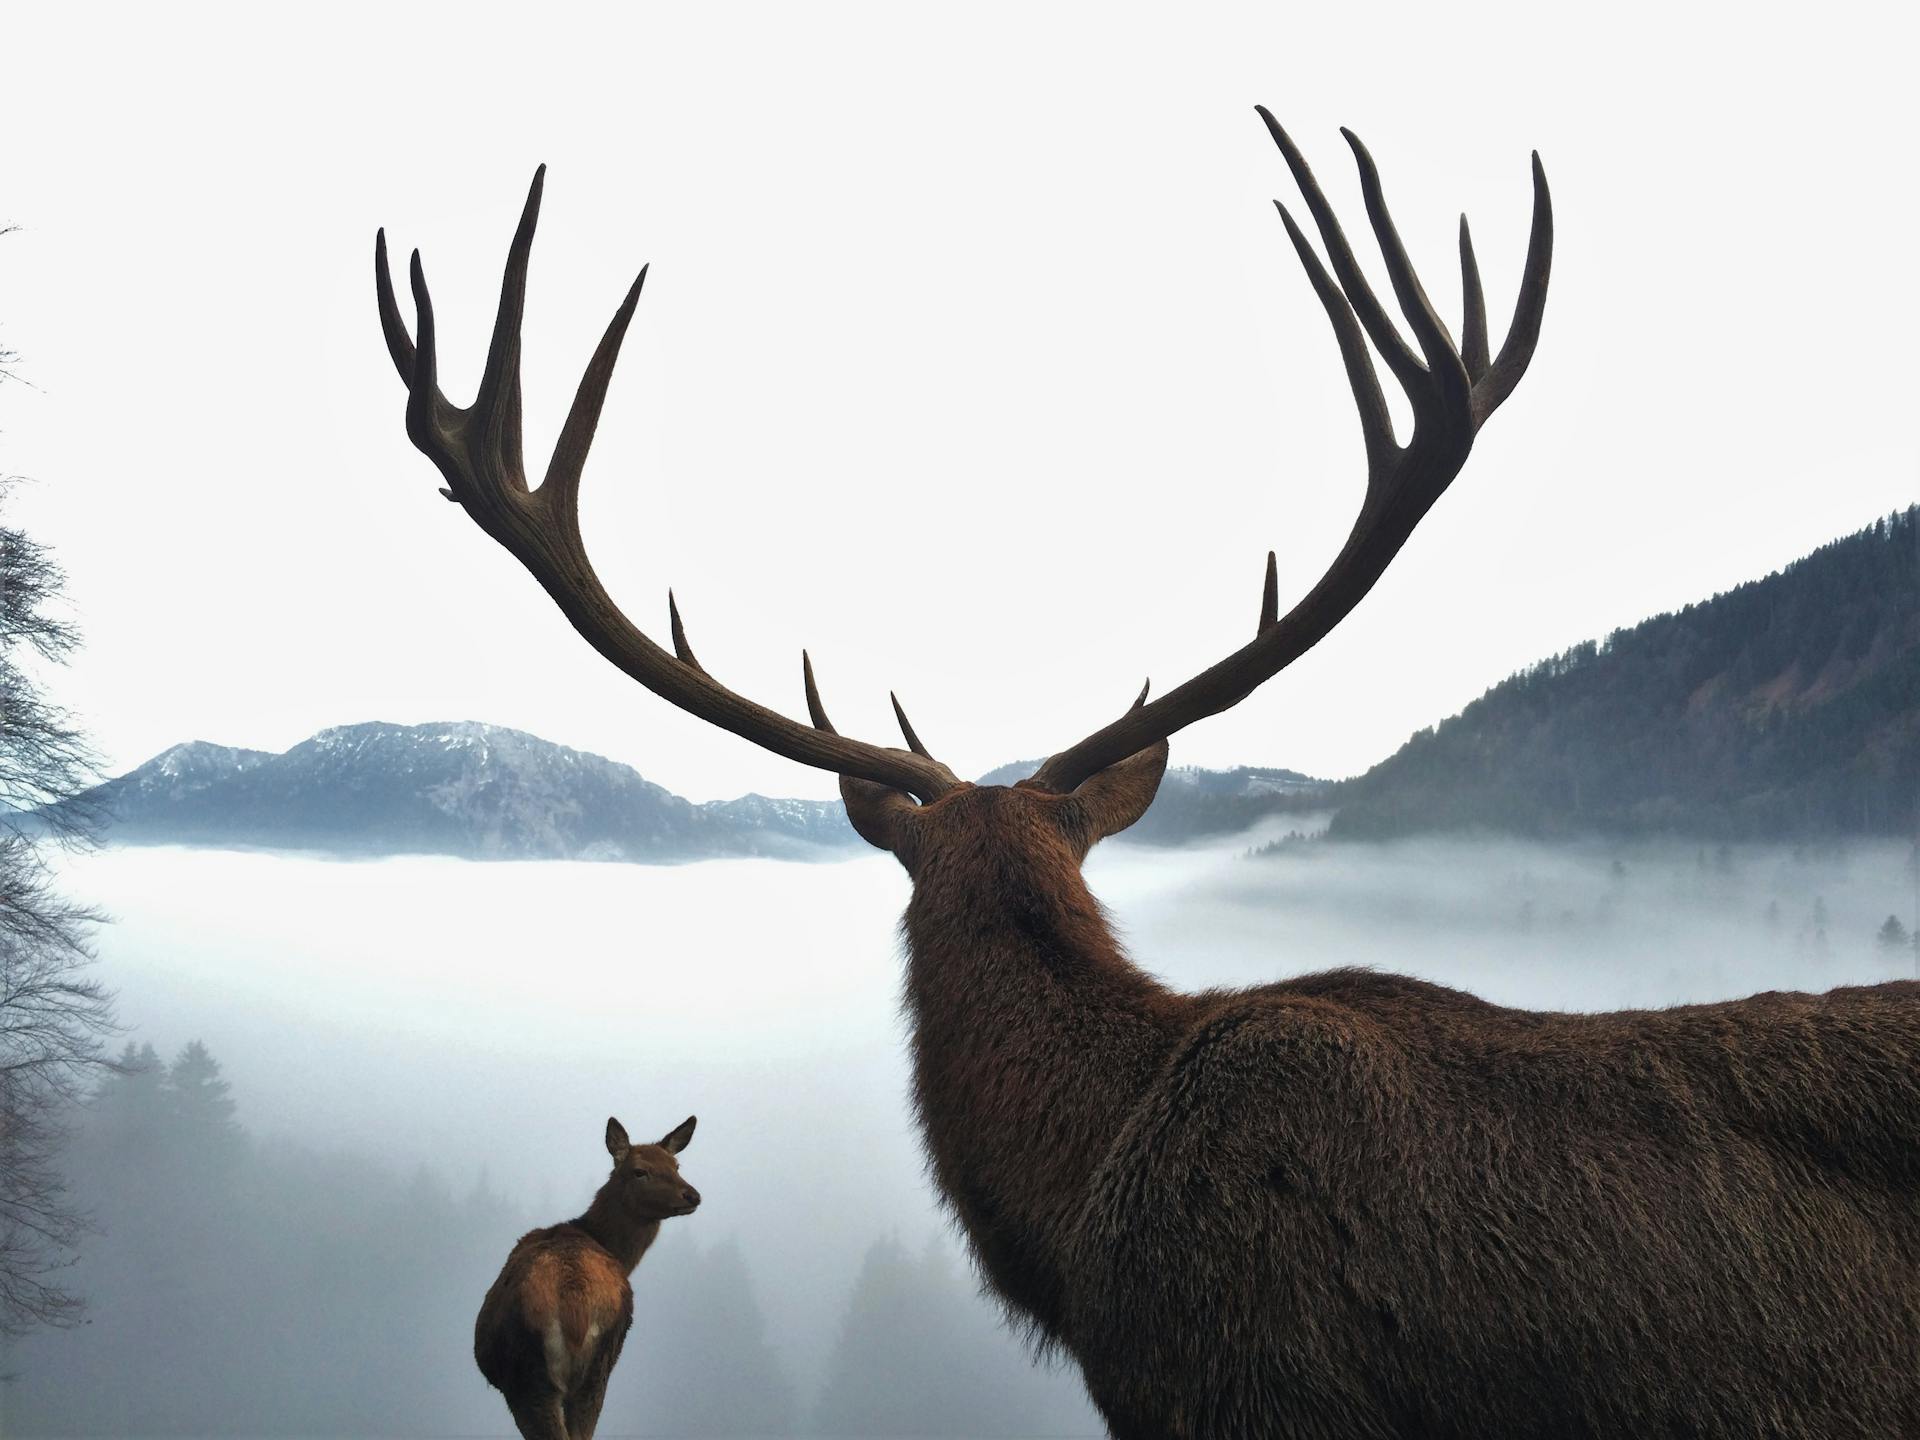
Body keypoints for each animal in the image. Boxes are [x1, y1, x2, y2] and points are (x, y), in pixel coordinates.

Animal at [476, 1113, 702, 1440]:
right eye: (640, 1171)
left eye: (676, 1165)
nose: (692, 1195)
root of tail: (575, 1311)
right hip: (584, 1372)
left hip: (540, 1377)